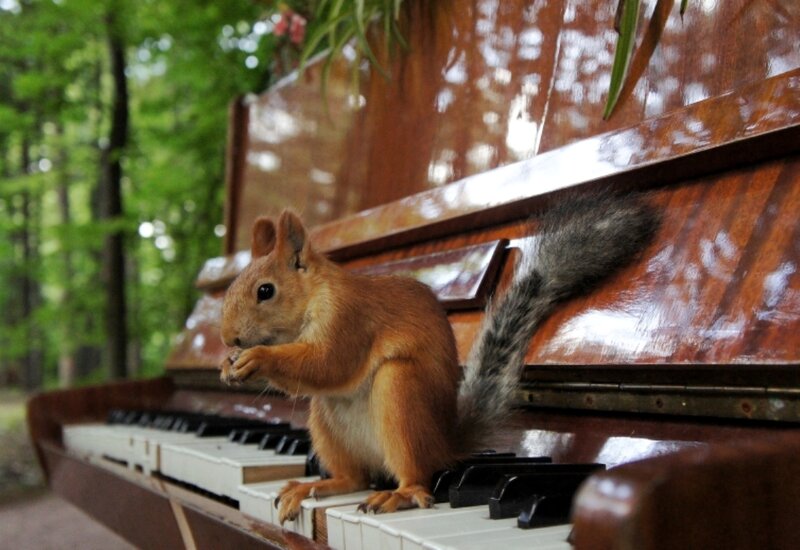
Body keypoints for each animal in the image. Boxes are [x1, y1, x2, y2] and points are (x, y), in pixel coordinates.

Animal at [219, 193, 658, 524]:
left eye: (265, 291)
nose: (227, 337)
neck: (315, 296)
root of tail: (445, 442)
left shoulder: (349, 319)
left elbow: (328, 363)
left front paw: (256, 358)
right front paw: (228, 364)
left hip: (399, 392)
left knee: (413, 476)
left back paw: (398, 494)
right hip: (326, 421)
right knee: (354, 478)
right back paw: (314, 485)